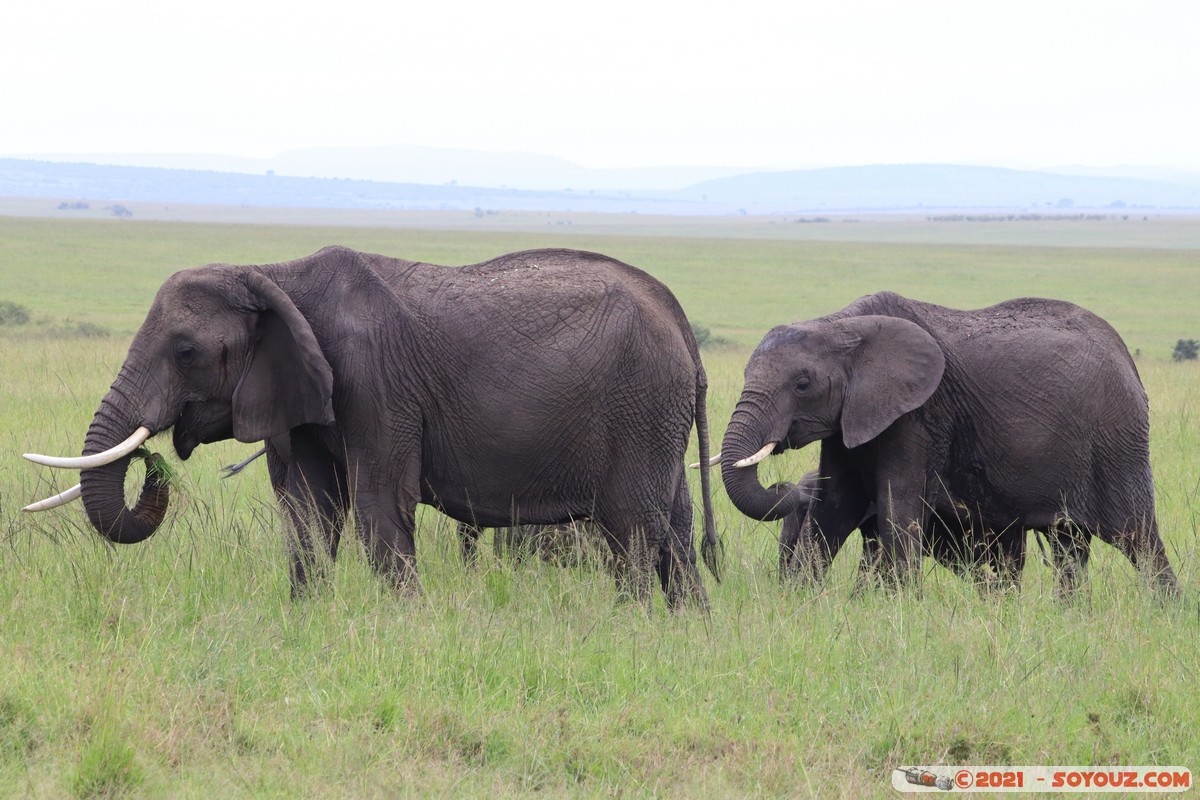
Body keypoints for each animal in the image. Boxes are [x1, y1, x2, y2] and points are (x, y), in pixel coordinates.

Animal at [25, 247, 720, 609]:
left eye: (187, 351)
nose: (155, 463)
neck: (278, 275)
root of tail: (681, 321)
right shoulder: (299, 389)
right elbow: (308, 510)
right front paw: (306, 621)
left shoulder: (376, 382)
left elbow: (379, 503)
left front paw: (407, 627)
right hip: (657, 418)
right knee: (675, 531)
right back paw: (690, 629)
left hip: (639, 405)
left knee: (634, 530)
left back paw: (631, 625)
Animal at [720, 287, 1180, 594]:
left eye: (802, 384)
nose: (787, 487)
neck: (840, 325)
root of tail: (1125, 355)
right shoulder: (852, 417)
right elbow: (835, 505)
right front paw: (801, 603)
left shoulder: (918, 416)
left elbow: (897, 508)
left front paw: (897, 607)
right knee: (1069, 544)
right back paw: (1071, 615)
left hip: (1117, 441)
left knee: (1137, 537)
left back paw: (1165, 612)